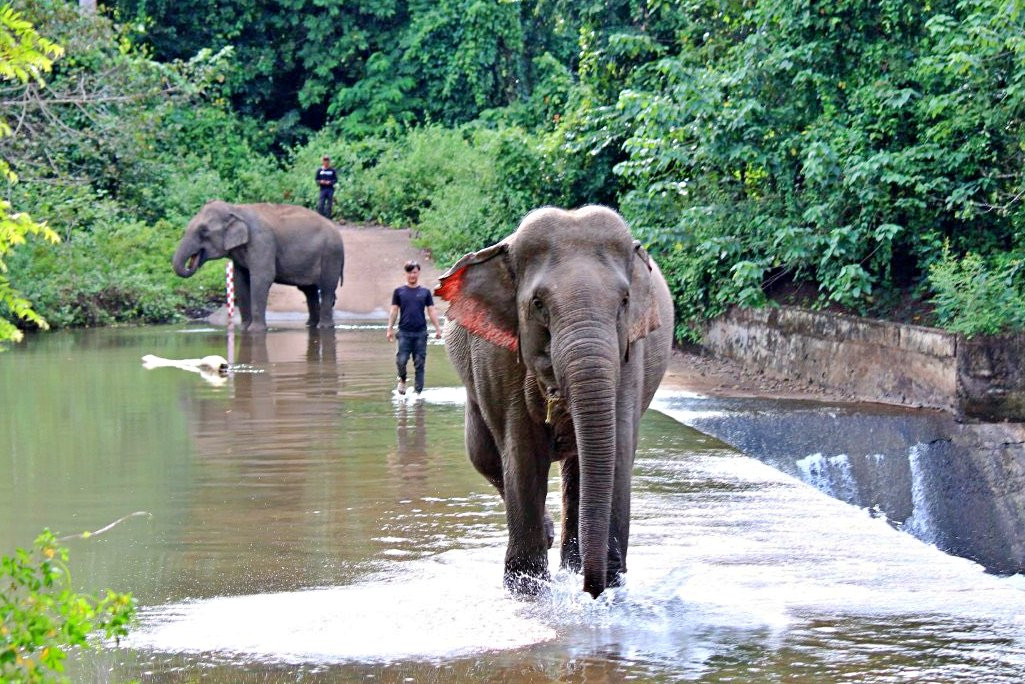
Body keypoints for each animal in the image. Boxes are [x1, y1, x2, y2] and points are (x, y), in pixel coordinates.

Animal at [170, 200, 342, 332]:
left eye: (203, 230)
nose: (191, 264)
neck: (236, 209)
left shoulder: (262, 241)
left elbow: (262, 278)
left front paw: (256, 330)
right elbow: (240, 281)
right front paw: (244, 329)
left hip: (331, 254)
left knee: (327, 288)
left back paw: (324, 327)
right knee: (309, 291)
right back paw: (310, 325)